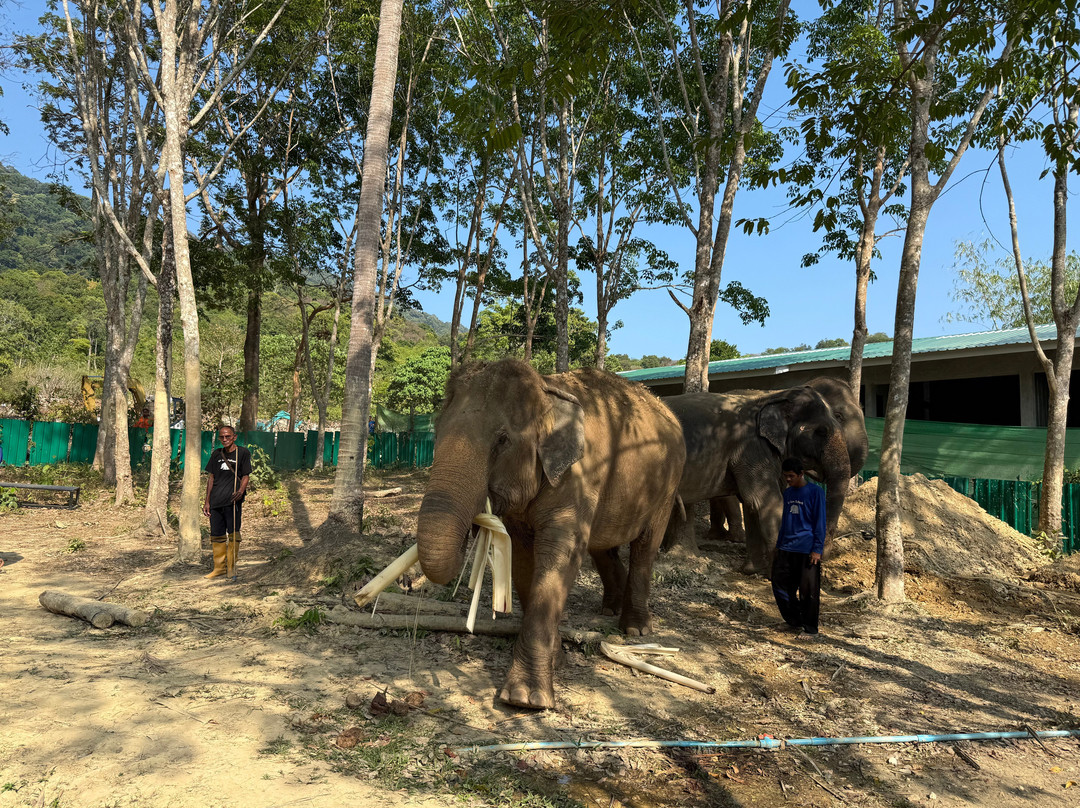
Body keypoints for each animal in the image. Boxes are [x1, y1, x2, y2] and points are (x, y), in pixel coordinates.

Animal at [415, 358, 685, 710]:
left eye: (503, 440)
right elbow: (522, 558)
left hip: (667, 486)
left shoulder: (580, 475)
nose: (472, 528)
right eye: (436, 431)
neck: (546, 390)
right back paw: (609, 608)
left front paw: (526, 699)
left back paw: (635, 629)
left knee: (645, 546)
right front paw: (556, 661)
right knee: (603, 547)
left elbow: (561, 551)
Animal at [663, 383, 856, 574]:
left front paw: (751, 570)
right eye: (821, 432)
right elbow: (765, 502)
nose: (820, 559)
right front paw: (778, 574)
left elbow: (751, 505)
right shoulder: (751, 449)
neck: (770, 396)